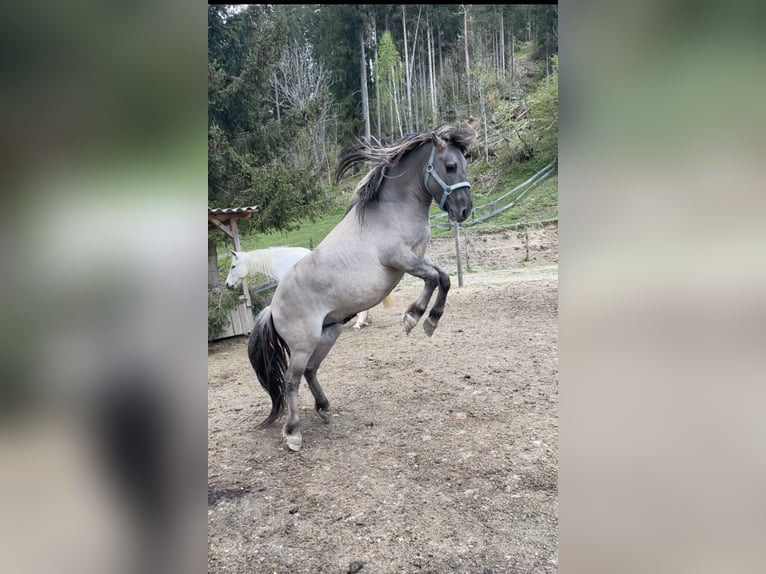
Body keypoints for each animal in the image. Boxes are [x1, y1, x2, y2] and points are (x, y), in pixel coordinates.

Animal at [249, 124, 476, 452]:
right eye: (449, 166)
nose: (465, 210)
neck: (393, 211)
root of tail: (272, 307)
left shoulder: (418, 257)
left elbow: (443, 278)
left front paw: (429, 322)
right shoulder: (401, 260)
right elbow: (433, 279)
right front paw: (413, 317)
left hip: (329, 333)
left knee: (311, 371)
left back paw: (324, 408)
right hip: (303, 344)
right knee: (291, 381)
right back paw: (293, 433)